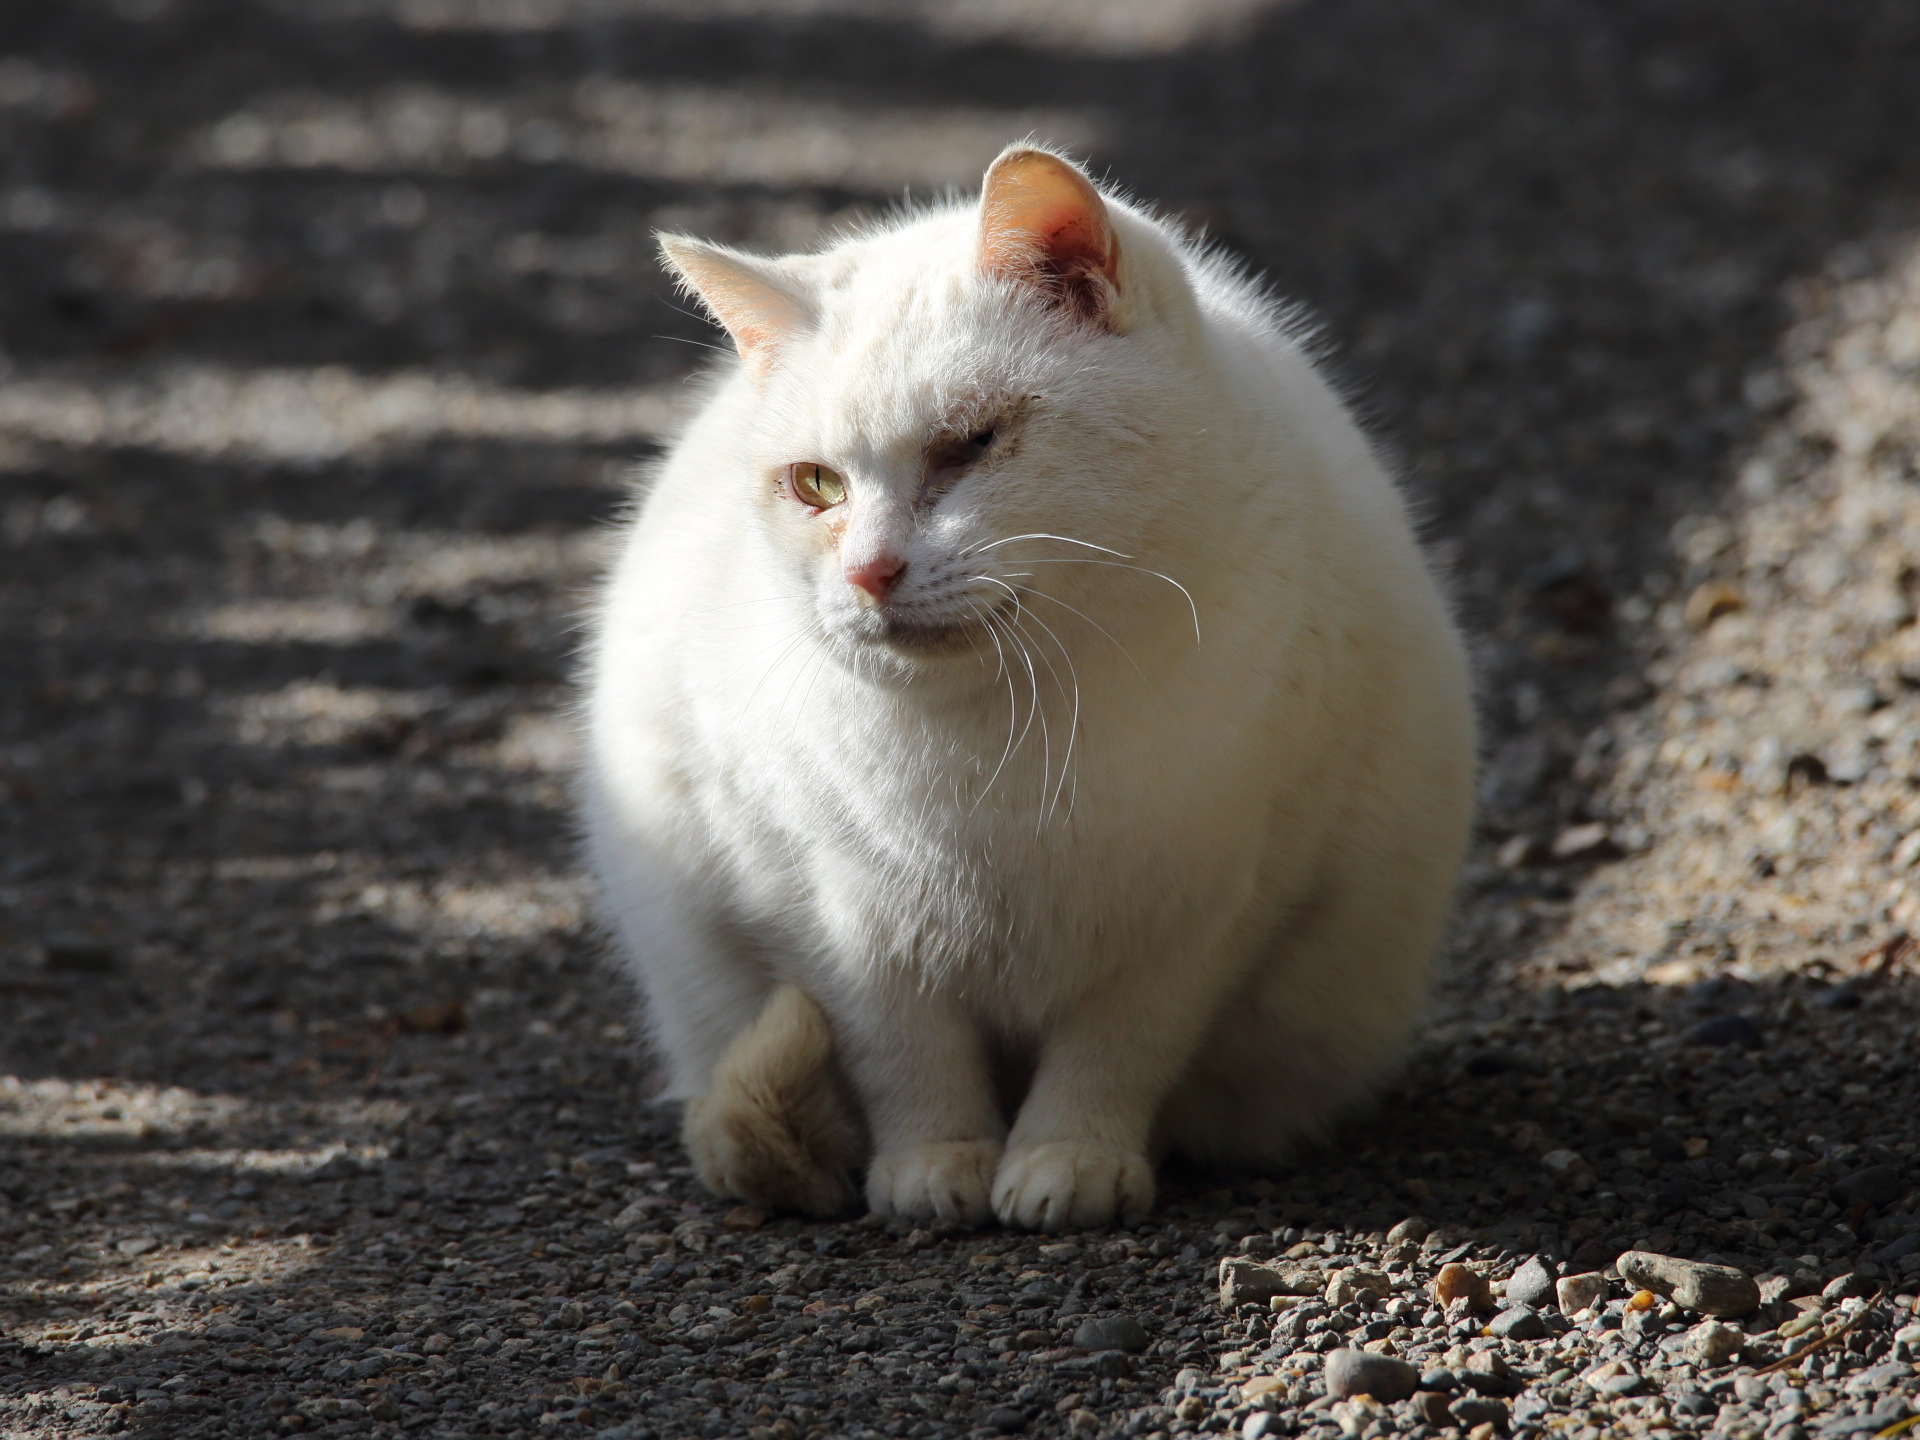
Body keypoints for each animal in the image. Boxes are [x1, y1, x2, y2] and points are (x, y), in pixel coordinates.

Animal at [576, 144, 1474, 1228]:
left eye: (972, 444)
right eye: (816, 486)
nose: (868, 573)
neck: (1010, 727)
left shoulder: (1215, 909)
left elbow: (1117, 1051)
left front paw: (1070, 1158)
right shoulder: (831, 918)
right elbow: (904, 1055)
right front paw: (937, 1163)